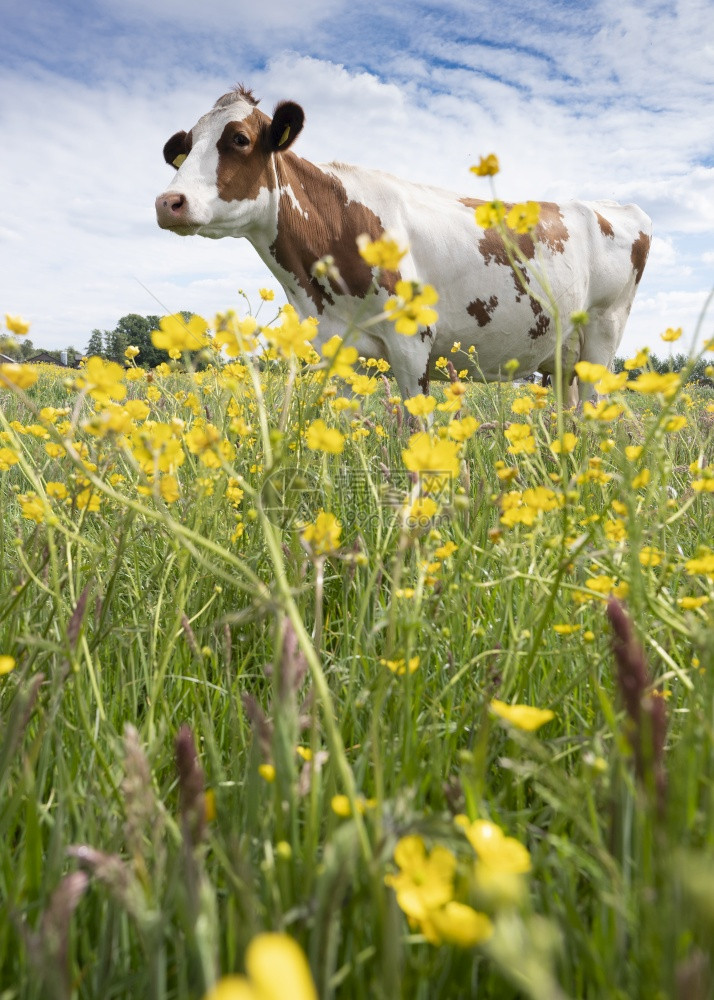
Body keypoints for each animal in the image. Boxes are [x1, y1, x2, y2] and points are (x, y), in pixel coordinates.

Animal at [156, 86, 652, 404]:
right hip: (561, 357)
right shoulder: (333, 347)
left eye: (239, 139)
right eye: (185, 150)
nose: (168, 202)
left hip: (603, 335)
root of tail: (620, 207)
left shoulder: (412, 342)